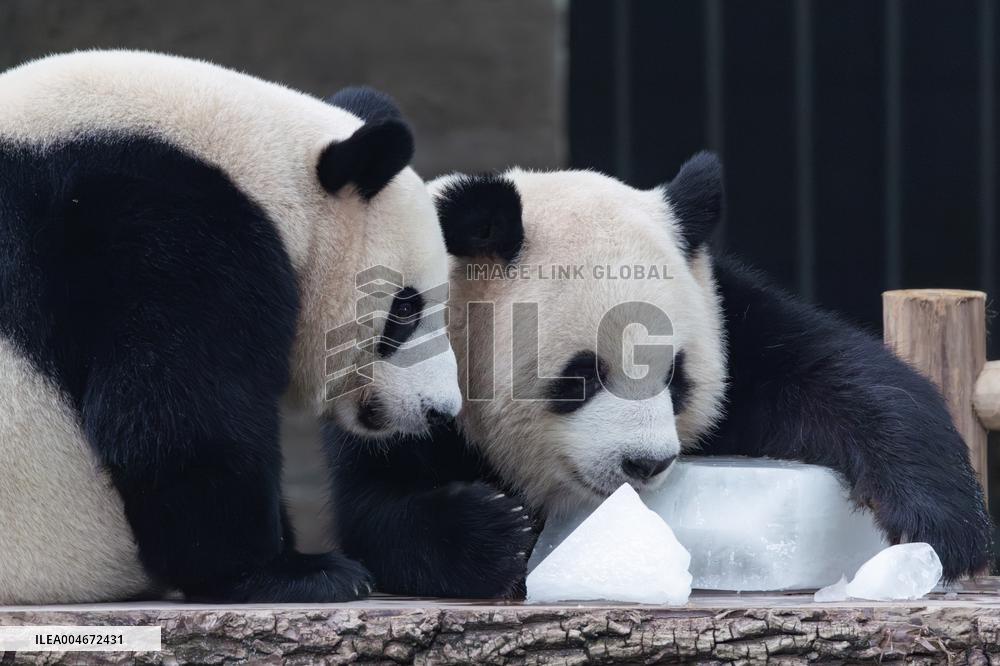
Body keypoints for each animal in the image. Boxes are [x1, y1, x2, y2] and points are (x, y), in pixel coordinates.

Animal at [331, 152, 992, 598]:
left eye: (676, 377)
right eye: (579, 377)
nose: (645, 463)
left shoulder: (731, 320)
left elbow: (838, 375)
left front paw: (941, 523)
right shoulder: (399, 369)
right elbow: (371, 511)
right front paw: (498, 531)